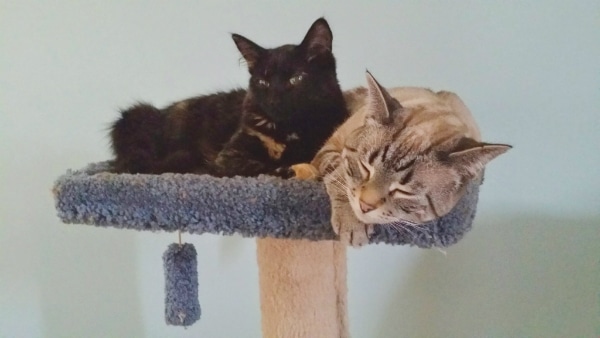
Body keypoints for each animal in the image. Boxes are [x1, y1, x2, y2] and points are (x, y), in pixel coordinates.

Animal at [110, 17, 350, 177]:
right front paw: (285, 169)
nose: (274, 100)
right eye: (263, 83)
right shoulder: (230, 156)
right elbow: (260, 166)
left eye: (296, 79)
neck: (289, 130)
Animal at [300, 72, 510, 246]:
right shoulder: (328, 152)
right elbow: (342, 177)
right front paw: (352, 221)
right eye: (365, 168)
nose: (365, 206)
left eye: (404, 191)